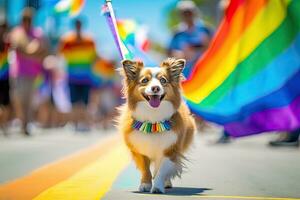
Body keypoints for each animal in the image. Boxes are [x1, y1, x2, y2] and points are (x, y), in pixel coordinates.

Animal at [117, 57, 197, 194]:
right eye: (144, 80)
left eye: (163, 80)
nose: (155, 88)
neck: (153, 118)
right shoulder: (139, 150)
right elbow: (145, 169)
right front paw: (145, 184)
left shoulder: (170, 150)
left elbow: (161, 170)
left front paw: (158, 187)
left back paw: (166, 183)